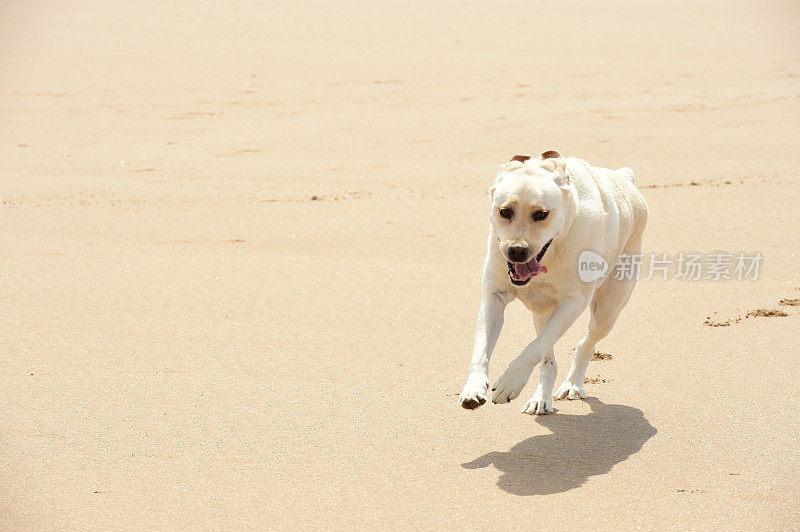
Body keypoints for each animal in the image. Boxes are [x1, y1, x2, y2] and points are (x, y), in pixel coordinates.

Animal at [460, 151, 648, 416]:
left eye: (541, 214)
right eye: (504, 211)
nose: (516, 251)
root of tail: (623, 177)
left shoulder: (573, 303)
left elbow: (534, 348)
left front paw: (510, 382)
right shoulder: (493, 296)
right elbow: (481, 348)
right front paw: (474, 387)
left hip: (608, 310)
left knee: (583, 344)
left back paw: (572, 385)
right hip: (542, 313)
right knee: (548, 357)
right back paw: (541, 398)